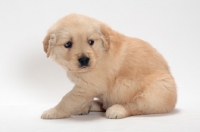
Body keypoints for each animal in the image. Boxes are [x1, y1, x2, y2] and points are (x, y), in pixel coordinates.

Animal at [40, 13, 177, 119]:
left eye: (91, 41)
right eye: (68, 44)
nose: (84, 59)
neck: (99, 53)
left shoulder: (87, 86)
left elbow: (67, 99)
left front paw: (53, 111)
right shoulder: (87, 87)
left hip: (157, 90)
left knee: (136, 106)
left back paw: (117, 109)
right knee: (103, 104)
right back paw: (88, 106)